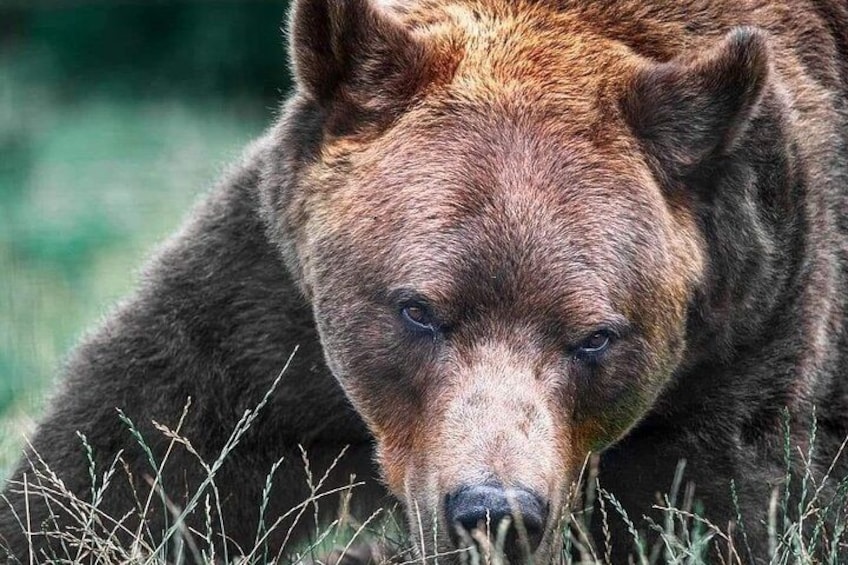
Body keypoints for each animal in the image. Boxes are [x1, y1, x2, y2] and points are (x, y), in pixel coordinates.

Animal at [2, 0, 848, 563]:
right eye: (418, 310)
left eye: (596, 336)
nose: (494, 509)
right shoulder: (269, 315)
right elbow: (133, 460)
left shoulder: (746, 337)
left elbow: (717, 515)